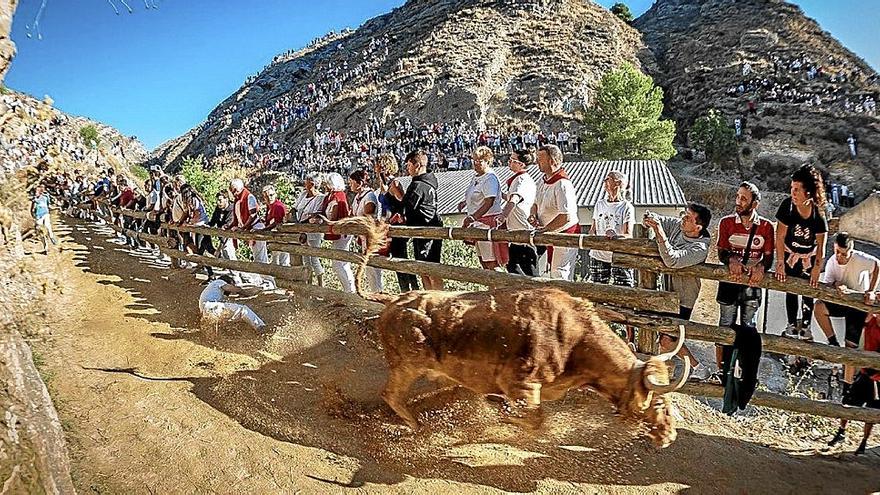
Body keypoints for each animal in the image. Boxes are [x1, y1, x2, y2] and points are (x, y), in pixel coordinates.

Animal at [334, 216, 692, 446]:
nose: (669, 435)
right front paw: (500, 413)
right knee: (391, 394)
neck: (574, 339)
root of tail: (394, 300)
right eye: (660, 403)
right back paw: (415, 424)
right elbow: (534, 418)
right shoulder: (520, 385)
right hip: (407, 366)